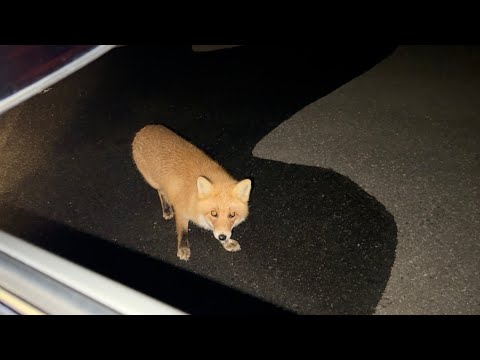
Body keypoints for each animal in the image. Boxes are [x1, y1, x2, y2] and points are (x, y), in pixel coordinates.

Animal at [131, 125, 251, 260]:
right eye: (213, 213)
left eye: (232, 215)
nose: (222, 237)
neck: (194, 197)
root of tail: (146, 128)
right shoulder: (181, 211)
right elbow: (183, 232)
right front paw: (183, 248)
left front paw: (226, 242)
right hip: (154, 182)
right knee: (161, 192)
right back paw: (167, 209)